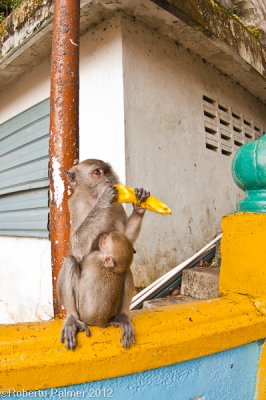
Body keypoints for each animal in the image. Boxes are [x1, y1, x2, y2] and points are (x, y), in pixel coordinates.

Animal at [56, 159, 150, 350]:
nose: (108, 181)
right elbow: (77, 247)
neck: (92, 198)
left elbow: (125, 240)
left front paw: (139, 207)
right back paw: (72, 318)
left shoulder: (117, 204)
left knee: (126, 269)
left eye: (107, 171)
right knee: (70, 261)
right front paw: (104, 199)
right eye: (97, 172)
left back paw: (122, 316)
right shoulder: (74, 205)